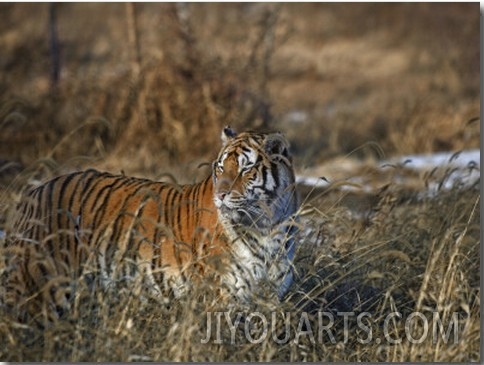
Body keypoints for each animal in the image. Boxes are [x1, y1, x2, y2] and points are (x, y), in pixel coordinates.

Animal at [2, 126, 298, 318]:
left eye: (246, 168)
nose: (221, 195)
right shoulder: (223, 295)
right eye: (221, 167)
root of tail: (34, 193)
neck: (267, 226)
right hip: (42, 287)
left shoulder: (271, 297)